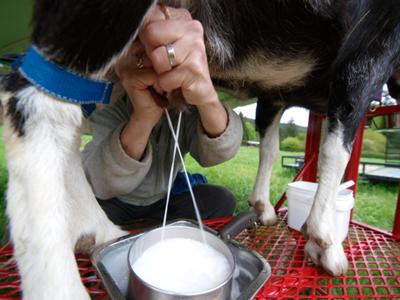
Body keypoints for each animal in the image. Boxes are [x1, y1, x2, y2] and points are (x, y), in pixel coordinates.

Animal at [0, 0, 398, 298]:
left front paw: (263, 207)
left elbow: (269, 145)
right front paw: (325, 243)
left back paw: (97, 230)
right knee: (34, 101)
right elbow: (338, 144)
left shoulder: (274, 93)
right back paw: (60, 286)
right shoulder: (371, 44)